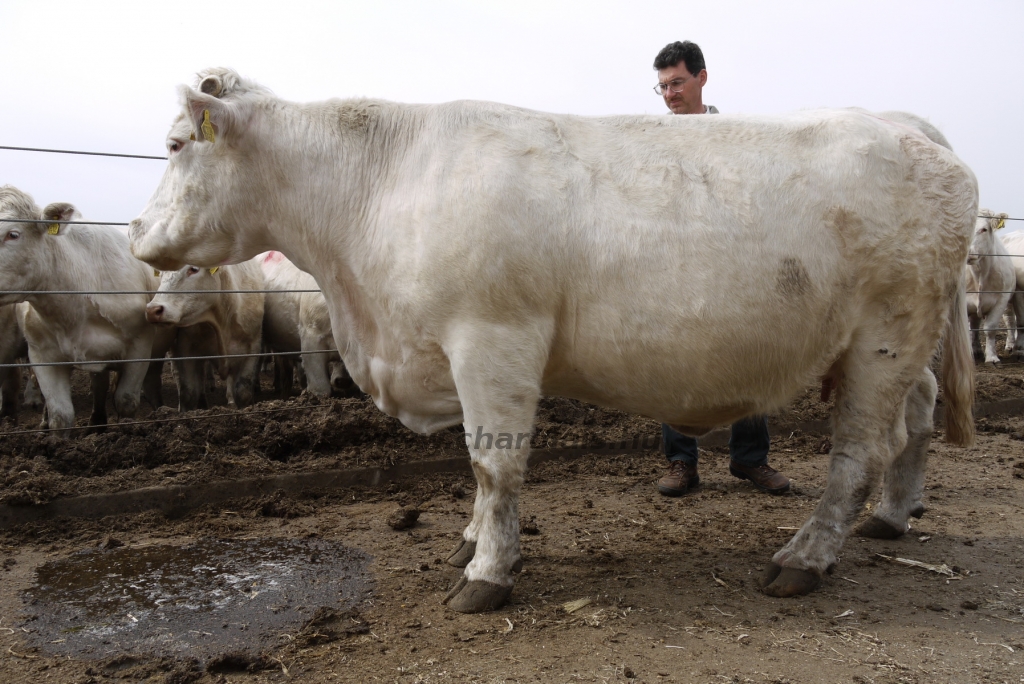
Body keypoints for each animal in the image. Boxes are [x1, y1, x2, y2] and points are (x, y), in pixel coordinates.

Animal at [145, 255, 266, 405]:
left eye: (193, 269)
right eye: (160, 273)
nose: (152, 310)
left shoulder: (251, 350)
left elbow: (243, 392)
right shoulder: (187, 351)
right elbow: (189, 393)